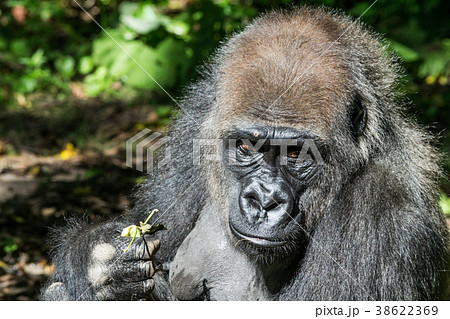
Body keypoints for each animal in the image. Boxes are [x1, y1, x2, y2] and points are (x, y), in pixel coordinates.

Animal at [41, 8, 446, 302]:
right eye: (247, 147)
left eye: (296, 152)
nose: (264, 201)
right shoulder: (198, 123)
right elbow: (148, 223)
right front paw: (96, 261)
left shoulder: (383, 208)